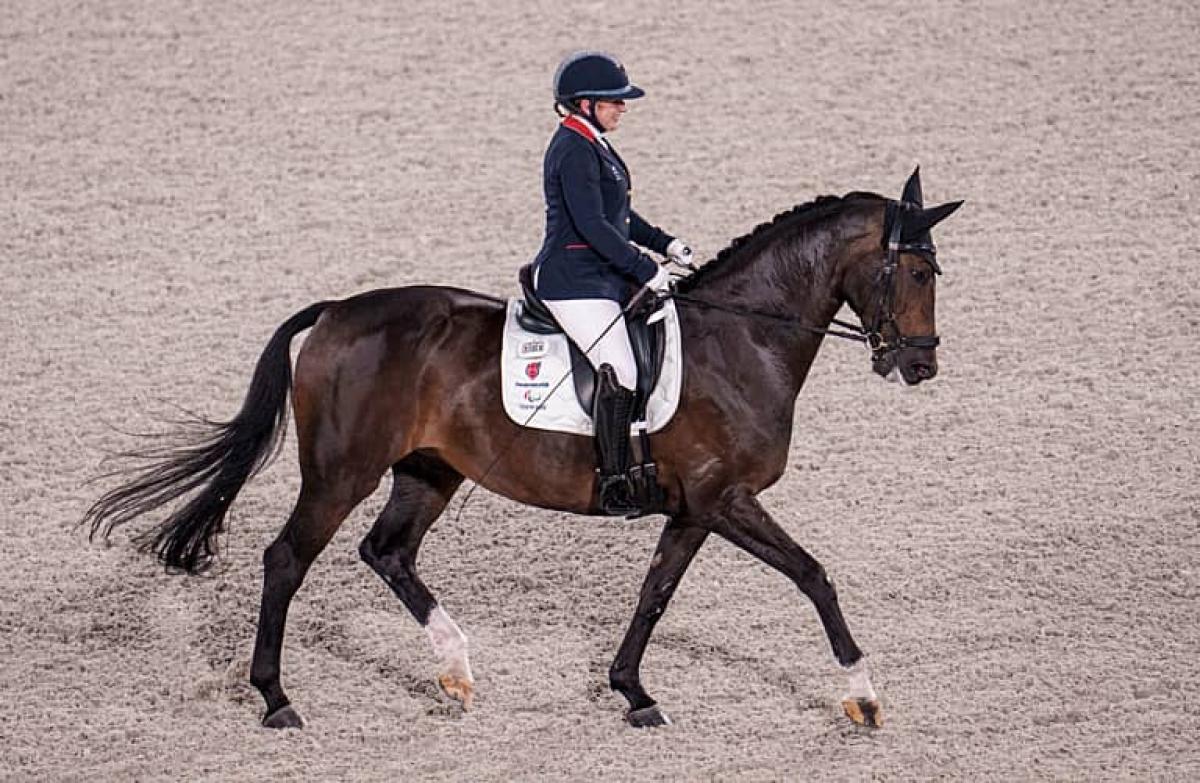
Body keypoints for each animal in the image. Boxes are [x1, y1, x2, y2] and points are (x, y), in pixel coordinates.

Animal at [84, 168, 960, 730]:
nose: (919, 364)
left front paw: (632, 691)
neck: (744, 338)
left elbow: (654, 593)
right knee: (286, 559)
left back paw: (457, 670)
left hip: (428, 472)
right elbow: (814, 576)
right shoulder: (727, 499)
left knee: (386, 552)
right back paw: (276, 698)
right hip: (340, 473)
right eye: (916, 271)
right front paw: (864, 695)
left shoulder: (694, 508)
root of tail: (335, 310)